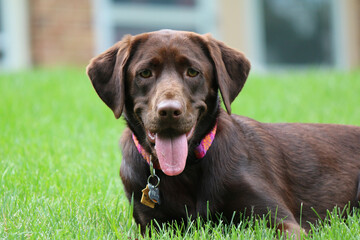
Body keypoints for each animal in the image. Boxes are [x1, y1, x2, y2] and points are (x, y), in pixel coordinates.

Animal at [86, 29, 360, 236]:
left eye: (192, 72)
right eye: (144, 73)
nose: (169, 111)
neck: (186, 171)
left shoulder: (281, 221)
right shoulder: (154, 227)